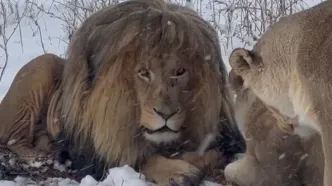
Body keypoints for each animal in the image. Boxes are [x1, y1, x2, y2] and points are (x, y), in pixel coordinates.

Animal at [0, 0, 244, 185]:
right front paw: (179, 171)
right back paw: (38, 154)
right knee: (15, 139)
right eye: (143, 72)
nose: (166, 114)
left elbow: (213, 153)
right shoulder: (92, 154)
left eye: (180, 72)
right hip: (43, 65)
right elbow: (141, 159)